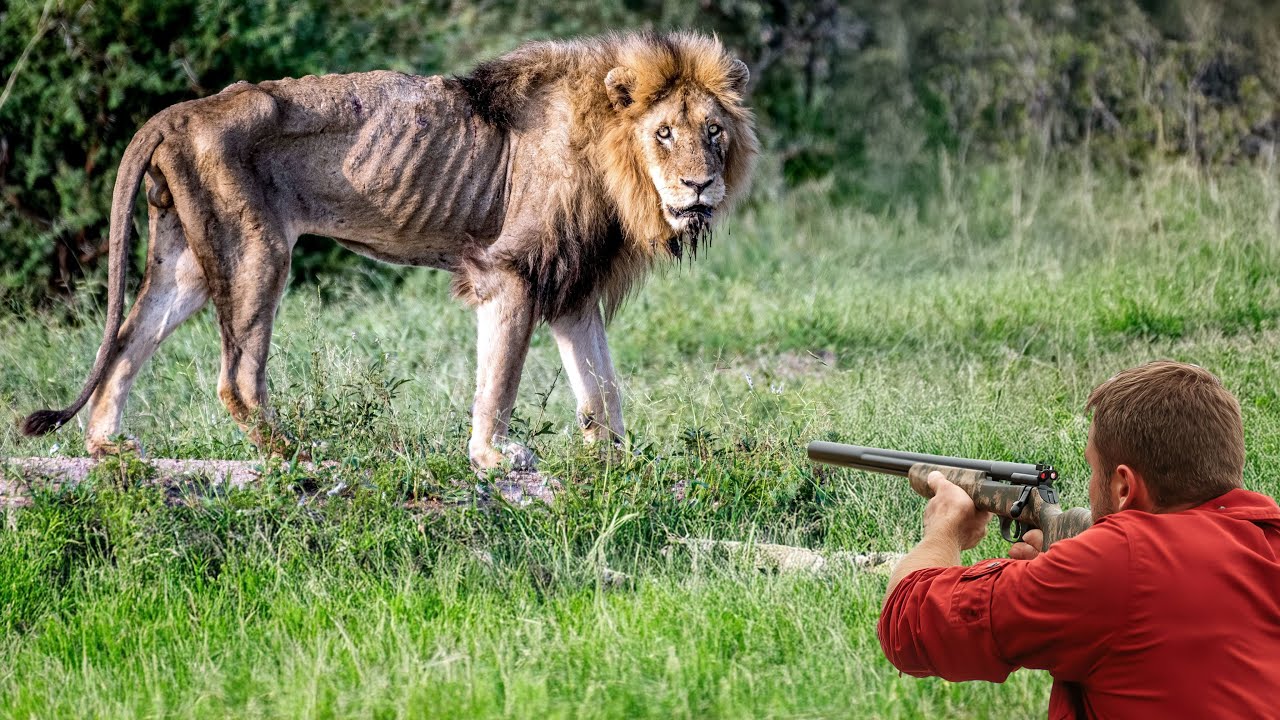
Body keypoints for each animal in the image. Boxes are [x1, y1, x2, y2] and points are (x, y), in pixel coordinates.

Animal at [20, 30, 758, 470]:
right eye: (664, 133)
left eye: (713, 132)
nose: (699, 185)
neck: (611, 156)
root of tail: (178, 112)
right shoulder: (512, 271)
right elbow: (500, 381)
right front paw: (493, 456)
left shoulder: (571, 283)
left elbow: (602, 388)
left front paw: (617, 463)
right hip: (257, 252)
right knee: (236, 379)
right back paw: (303, 453)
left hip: (188, 264)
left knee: (126, 343)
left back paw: (111, 447)